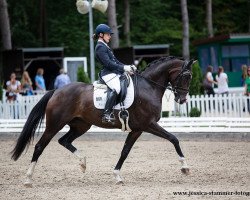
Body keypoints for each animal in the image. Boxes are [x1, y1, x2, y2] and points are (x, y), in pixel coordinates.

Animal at [11, 55, 193, 186]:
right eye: (185, 77)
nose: (182, 99)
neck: (149, 87)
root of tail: (56, 91)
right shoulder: (148, 124)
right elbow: (173, 139)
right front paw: (185, 167)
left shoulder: (137, 129)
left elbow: (125, 151)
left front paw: (117, 175)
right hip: (54, 124)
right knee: (40, 146)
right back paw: (28, 179)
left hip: (81, 125)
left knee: (64, 141)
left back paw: (83, 163)